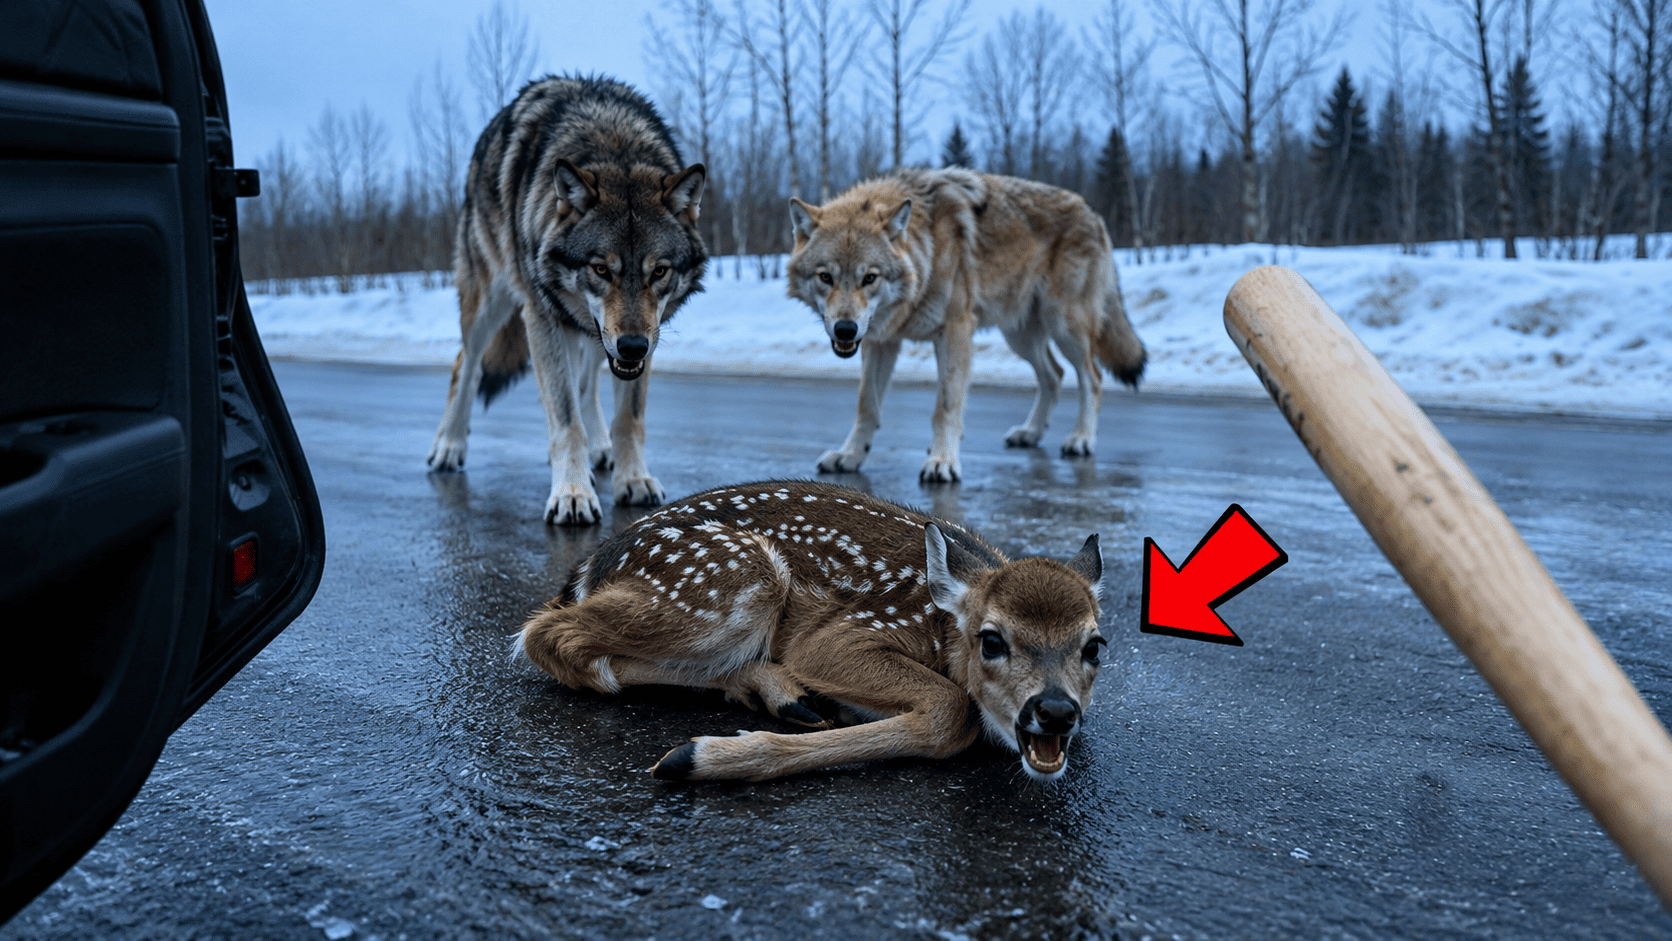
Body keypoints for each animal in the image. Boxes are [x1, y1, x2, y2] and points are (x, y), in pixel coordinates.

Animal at [426, 75, 707, 525]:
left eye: (659, 272)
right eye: (602, 269)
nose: (632, 347)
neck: (614, 142)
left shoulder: (643, 337)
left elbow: (627, 419)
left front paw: (633, 479)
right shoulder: (542, 318)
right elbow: (565, 420)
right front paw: (572, 494)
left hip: (592, 335)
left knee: (585, 383)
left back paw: (600, 449)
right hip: (491, 303)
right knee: (464, 366)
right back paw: (450, 445)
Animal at [513, 479, 1108, 782]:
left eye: (1095, 647)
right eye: (991, 640)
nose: (1055, 710)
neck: (941, 621)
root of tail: (592, 566)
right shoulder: (842, 634)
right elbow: (951, 710)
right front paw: (700, 757)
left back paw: (783, 695)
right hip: (732, 578)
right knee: (548, 636)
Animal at [786, 167, 1146, 482]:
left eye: (869, 278)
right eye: (825, 277)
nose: (845, 329)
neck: (927, 249)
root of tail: (1094, 213)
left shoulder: (955, 331)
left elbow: (945, 407)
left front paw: (942, 461)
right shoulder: (881, 340)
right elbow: (867, 406)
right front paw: (850, 456)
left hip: (1064, 326)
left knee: (1092, 377)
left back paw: (1081, 439)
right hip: (1020, 337)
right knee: (1054, 375)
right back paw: (1029, 433)